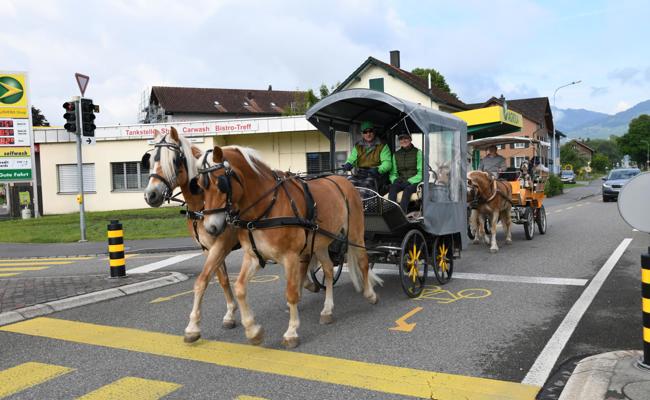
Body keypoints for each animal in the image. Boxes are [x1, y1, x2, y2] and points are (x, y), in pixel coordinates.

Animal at [142, 127, 240, 342]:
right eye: (151, 159)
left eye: (174, 160)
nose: (150, 195)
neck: (202, 205)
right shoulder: (208, 248)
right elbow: (222, 279)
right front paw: (230, 314)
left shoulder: (222, 244)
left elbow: (202, 280)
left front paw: (193, 327)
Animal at [194, 145, 381, 348]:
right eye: (200, 186)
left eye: (221, 183)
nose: (211, 228)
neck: (265, 208)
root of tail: (343, 180)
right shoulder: (253, 256)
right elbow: (240, 288)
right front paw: (253, 331)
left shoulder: (290, 256)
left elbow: (291, 293)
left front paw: (291, 333)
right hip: (320, 243)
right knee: (329, 270)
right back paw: (327, 310)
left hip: (355, 232)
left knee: (363, 261)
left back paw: (370, 294)